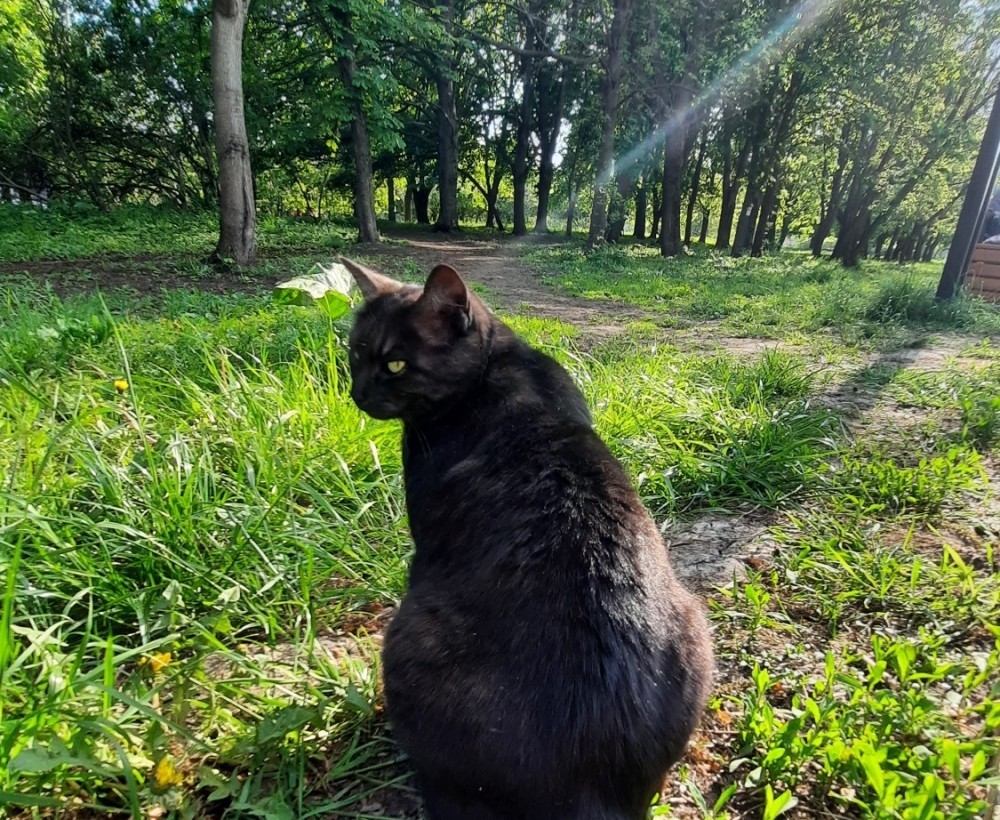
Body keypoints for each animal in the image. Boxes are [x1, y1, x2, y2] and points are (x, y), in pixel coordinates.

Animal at [340, 258, 716, 820]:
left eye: (396, 365)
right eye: (355, 353)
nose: (358, 393)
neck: (493, 367)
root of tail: (592, 789)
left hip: (408, 635)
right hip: (696, 625)